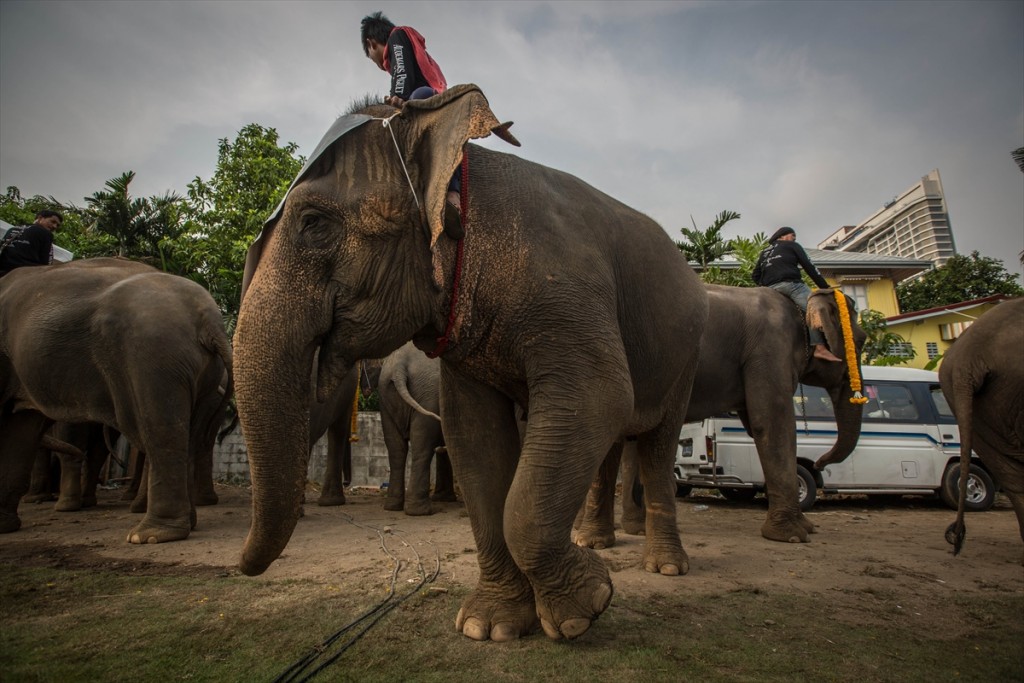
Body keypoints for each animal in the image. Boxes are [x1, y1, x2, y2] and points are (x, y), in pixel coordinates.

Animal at [1, 258, 233, 544]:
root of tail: (210, 321)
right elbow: (21, 431)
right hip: (202, 377)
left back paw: (148, 534)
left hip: (153, 361)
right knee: (190, 438)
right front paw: (7, 526)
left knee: (158, 433)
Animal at [376, 339, 456, 516]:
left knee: (396, 449)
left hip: (386, 398)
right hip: (428, 396)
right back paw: (422, 511)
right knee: (423, 445)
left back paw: (392, 507)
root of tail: (399, 366)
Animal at [577, 286, 864, 548]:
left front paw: (807, 528)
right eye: (860, 342)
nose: (821, 463)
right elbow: (770, 423)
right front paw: (794, 536)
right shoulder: (770, 352)